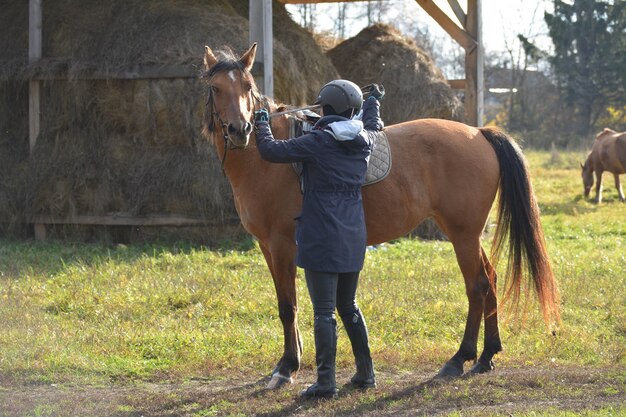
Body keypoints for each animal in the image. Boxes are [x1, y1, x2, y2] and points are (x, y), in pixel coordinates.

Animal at [201, 44, 560, 388]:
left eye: (248, 86)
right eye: (216, 88)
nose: (240, 130)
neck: (266, 162)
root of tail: (479, 132)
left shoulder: (282, 245)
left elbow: (289, 306)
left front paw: (287, 367)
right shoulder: (267, 246)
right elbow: (283, 304)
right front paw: (289, 360)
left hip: (463, 234)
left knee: (478, 286)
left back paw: (460, 358)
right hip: (465, 233)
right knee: (491, 279)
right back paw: (487, 355)